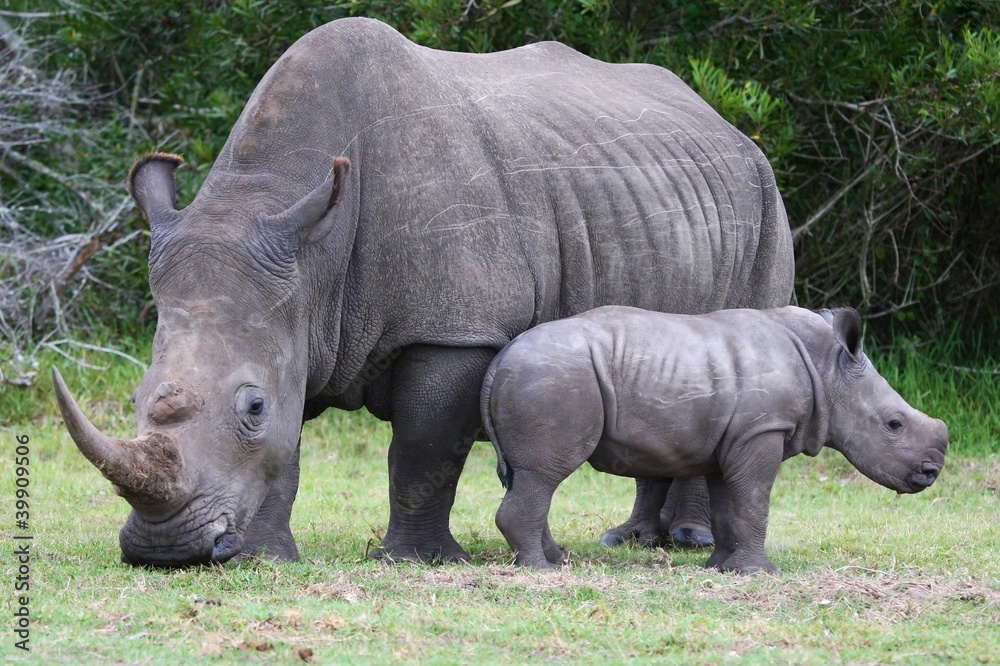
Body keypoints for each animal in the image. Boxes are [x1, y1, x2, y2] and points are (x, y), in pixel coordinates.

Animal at [51, 17, 793, 567]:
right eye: (137, 398)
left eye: (252, 406)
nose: (162, 550)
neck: (308, 251)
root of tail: (723, 124)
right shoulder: (294, 315)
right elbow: (286, 459)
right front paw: (265, 557)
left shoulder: (455, 329)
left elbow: (423, 450)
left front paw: (415, 560)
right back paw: (631, 541)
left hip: (765, 195)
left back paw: (687, 542)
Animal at [482, 306, 948, 572]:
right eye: (894, 424)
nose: (931, 473)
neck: (829, 369)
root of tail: (500, 358)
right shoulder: (763, 428)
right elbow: (755, 499)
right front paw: (762, 573)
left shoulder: (738, 436)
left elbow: (732, 504)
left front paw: (723, 568)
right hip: (553, 378)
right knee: (545, 473)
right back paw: (540, 571)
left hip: (543, 376)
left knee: (534, 477)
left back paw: (557, 560)